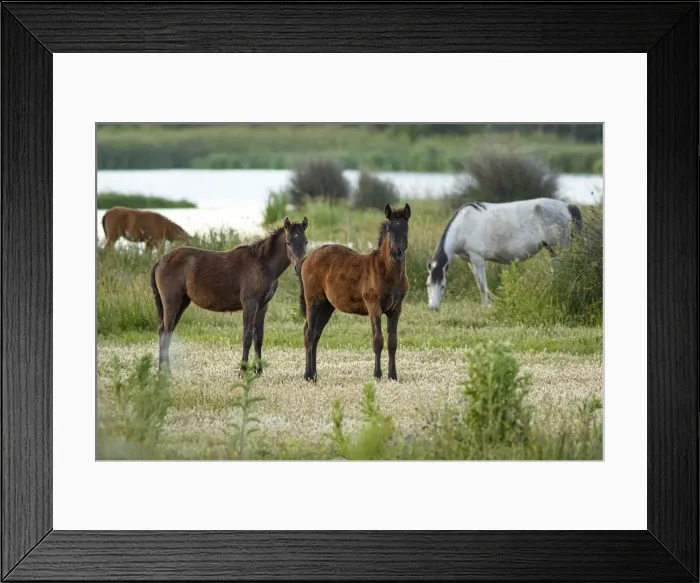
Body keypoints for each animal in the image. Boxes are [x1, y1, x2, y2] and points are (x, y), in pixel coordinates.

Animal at [151, 216, 308, 374]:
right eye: (288, 242)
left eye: (306, 242)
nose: (300, 267)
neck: (262, 264)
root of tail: (160, 261)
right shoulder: (249, 304)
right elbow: (247, 337)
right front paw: (243, 370)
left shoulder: (263, 306)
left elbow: (258, 337)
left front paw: (258, 370)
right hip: (172, 302)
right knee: (166, 333)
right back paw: (166, 372)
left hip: (183, 302)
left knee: (164, 331)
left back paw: (162, 370)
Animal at [299, 204, 410, 382]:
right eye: (390, 229)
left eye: (406, 228)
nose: (396, 253)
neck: (387, 271)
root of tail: (307, 258)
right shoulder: (373, 307)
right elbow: (378, 340)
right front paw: (377, 375)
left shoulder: (395, 309)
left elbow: (393, 342)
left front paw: (393, 376)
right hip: (313, 301)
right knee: (309, 333)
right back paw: (309, 376)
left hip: (327, 306)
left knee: (315, 333)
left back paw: (313, 374)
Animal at [426, 198, 582, 309]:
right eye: (428, 285)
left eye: (442, 286)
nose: (433, 307)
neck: (464, 225)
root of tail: (567, 206)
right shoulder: (470, 261)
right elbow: (480, 283)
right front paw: (494, 301)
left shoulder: (477, 259)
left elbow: (482, 286)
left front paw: (485, 307)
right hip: (553, 251)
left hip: (560, 249)